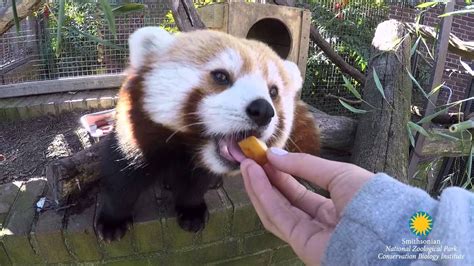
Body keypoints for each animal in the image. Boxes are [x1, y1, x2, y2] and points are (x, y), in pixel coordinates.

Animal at [94, 26, 320, 241]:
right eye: (221, 76)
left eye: (273, 91)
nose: (263, 110)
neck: (187, 145)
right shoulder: (135, 132)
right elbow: (122, 179)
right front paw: (113, 221)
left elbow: (195, 184)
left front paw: (191, 211)